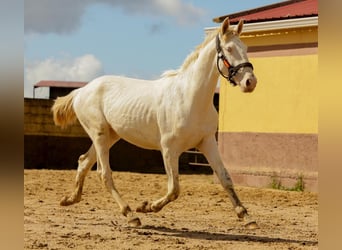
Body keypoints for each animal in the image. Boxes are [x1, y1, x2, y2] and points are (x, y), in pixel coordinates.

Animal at [51, 17, 256, 228]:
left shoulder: (207, 142)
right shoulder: (169, 149)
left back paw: (70, 199)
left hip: (110, 136)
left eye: (246, 47)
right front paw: (146, 206)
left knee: (84, 161)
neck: (189, 98)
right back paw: (131, 214)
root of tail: (81, 91)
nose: (250, 82)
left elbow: (225, 178)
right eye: (229, 49)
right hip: (99, 134)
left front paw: (247, 217)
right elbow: (174, 189)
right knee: (104, 174)